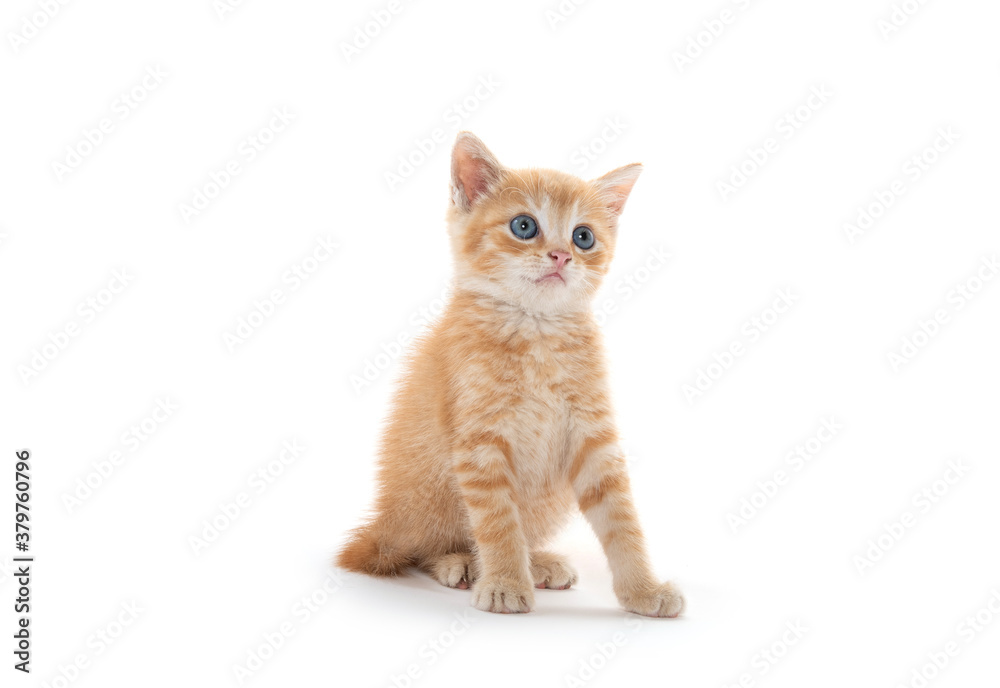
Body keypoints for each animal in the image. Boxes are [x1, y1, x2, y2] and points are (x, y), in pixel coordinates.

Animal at [338, 132, 688, 616]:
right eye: (524, 226)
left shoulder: (594, 436)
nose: (560, 255)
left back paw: (537, 562)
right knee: (418, 551)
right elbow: (498, 521)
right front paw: (504, 581)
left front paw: (643, 590)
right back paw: (461, 563)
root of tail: (384, 521)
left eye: (583, 237)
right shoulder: (480, 441)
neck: (537, 331)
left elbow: (622, 519)